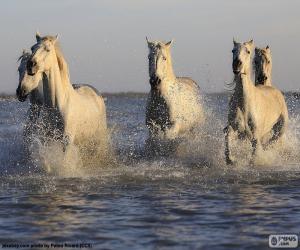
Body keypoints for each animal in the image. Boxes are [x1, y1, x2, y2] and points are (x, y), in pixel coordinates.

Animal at [17, 33, 108, 166]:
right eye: (33, 48)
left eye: (48, 49)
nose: (31, 64)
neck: (57, 104)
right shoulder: (47, 138)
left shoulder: (67, 141)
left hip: (99, 138)